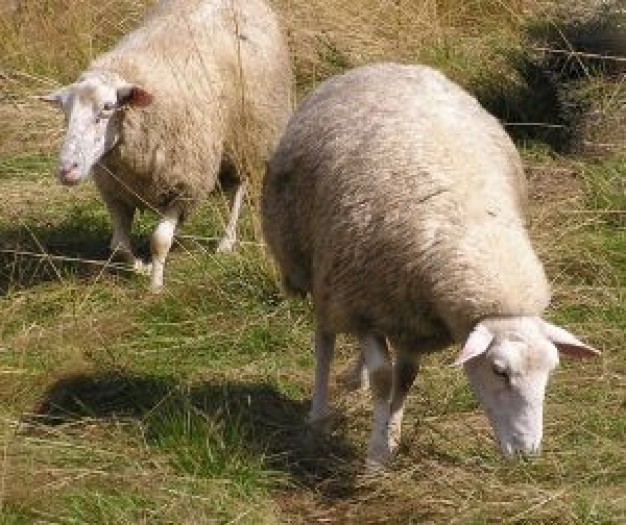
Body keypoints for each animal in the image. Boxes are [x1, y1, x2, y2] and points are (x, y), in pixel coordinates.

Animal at [44, 0, 292, 290]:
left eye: (107, 107)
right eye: (65, 111)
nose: (66, 170)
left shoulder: (184, 186)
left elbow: (159, 241)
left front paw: (155, 285)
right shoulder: (116, 191)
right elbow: (118, 246)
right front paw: (140, 268)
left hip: (246, 135)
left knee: (238, 191)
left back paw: (227, 241)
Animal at [260, 61, 600, 466]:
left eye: (552, 369)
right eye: (499, 370)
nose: (526, 453)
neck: (476, 241)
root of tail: (385, 65)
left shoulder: (412, 319)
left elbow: (405, 377)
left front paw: (392, 434)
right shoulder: (362, 301)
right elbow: (384, 378)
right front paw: (377, 455)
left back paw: (353, 379)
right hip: (320, 267)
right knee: (324, 339)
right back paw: (318, 414)